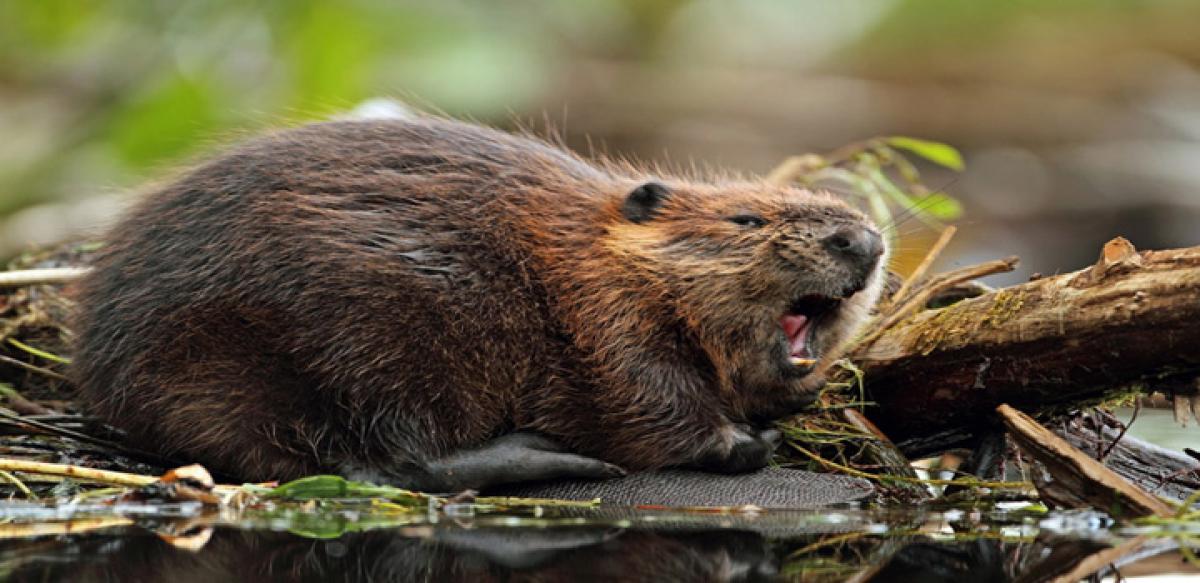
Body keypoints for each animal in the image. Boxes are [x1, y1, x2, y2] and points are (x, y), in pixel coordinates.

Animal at [70, 116, 888, 489]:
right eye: (746, 219)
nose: (866, 239)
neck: (591, 250)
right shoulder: (603, 320)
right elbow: (645, 398)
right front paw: (741, 441)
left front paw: (792, 398)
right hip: (379, 331)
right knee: (399, 457)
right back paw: (554, 456)